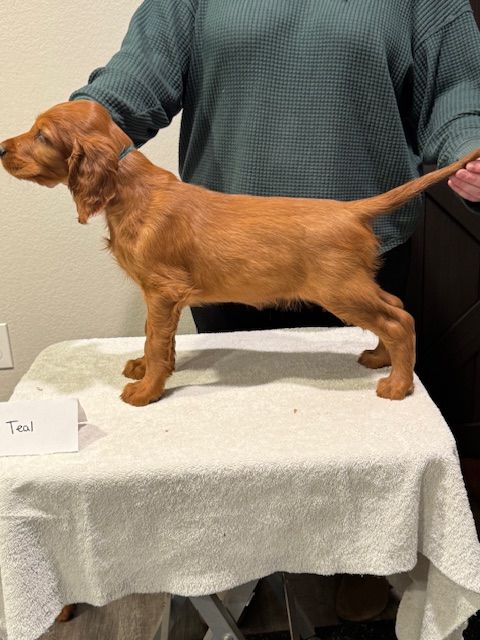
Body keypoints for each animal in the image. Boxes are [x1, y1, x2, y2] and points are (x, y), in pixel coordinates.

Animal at [2, 100, 478, 406]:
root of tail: (351, 210)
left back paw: (397, 385)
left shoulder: (162, 289)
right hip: (355, 285)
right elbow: (159, 338)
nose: (2, 148)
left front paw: (146, 391)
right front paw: (148, 369)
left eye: (42, 135)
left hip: (341, 290)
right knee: (395, 306)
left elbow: (156, 340)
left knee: (399, 320)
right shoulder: (164, 297)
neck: (130, 188)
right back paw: (381, 359)